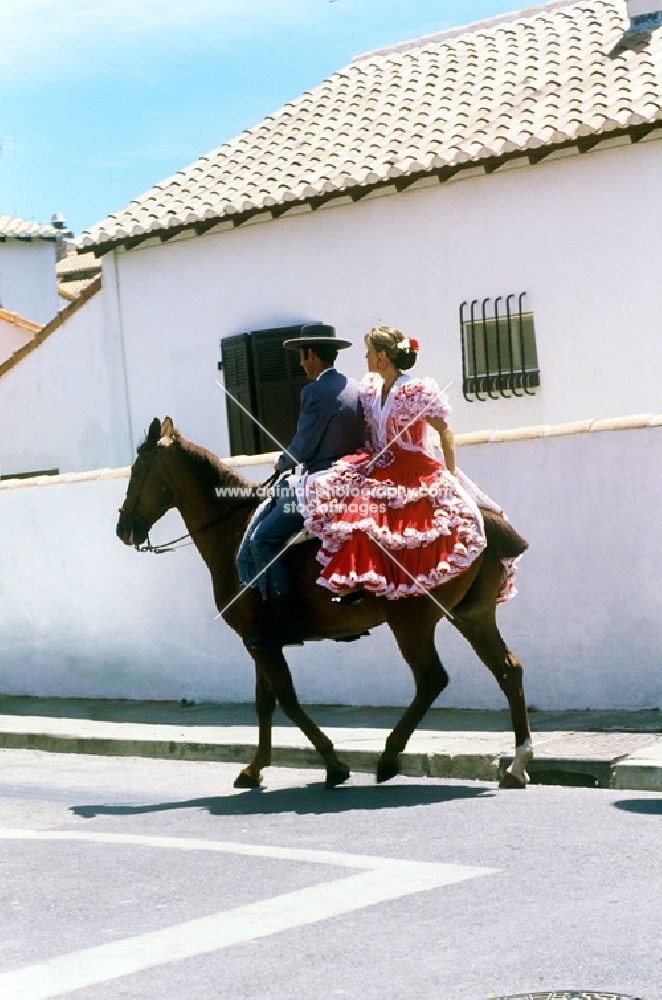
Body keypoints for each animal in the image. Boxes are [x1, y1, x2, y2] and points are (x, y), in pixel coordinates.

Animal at [116, 414, 536, 788]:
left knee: (432, 679)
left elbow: (286, 700)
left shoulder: (260, 644)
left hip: (410, 622)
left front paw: (333, 765)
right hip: (472, 615)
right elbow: (264, 702)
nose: (122, 528)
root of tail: (479, 520)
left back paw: (389, 757)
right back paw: (517, 764)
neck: (232, 531)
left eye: (139, 470)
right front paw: (255, 768)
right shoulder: (259, 640)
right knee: (508, 670)